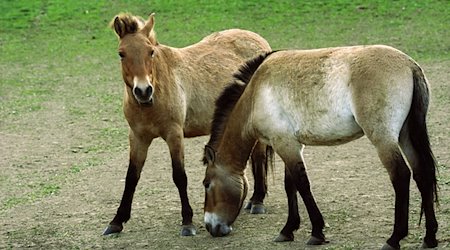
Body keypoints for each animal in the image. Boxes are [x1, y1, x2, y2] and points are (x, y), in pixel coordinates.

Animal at [101, 13, 270, 236]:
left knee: (259, 157)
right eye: (121, 53)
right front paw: (117, 221)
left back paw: (257, 201)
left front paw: (187, 222)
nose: (143, 91)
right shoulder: (137, 137)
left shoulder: (174, 135)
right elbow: (131, 177)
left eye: (151, 51)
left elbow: (179, 176)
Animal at [204, 46, 440, 249]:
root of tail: (409, 65)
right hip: (405, 135)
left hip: (384, 139)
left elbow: (302, 185)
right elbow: (290, 185)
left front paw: (317, 232)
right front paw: (288, 230)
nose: (210, 226)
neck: (255, 94)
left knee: (401, 176)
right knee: (422, 174)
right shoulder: (291, 145)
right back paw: (430, 237)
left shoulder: (284, 144)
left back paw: (394, 239)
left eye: (207, 184)